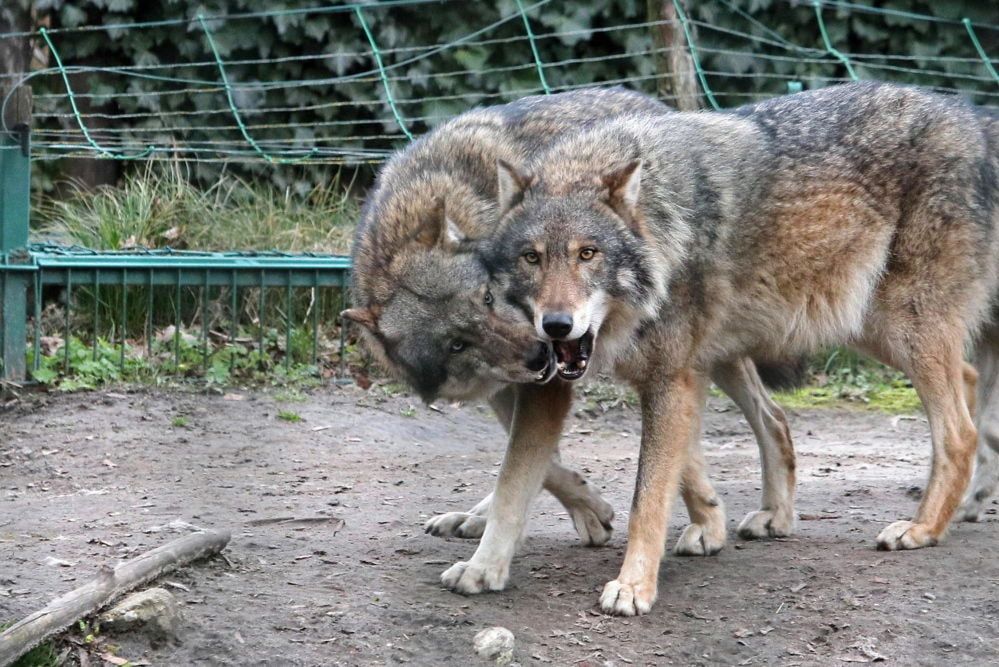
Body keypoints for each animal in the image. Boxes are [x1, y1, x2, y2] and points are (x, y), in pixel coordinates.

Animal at [348, 90, 800, 560]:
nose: (537, 353)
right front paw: (584, 508)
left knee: (767, 418)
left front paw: (598, 513)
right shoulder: (506, 385)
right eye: (457, 344)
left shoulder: (547, 382)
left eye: (488, 298)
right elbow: (534, 461)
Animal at [474, 82, 999, 616]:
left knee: (959, 430)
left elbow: (648, 496)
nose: (557, 325)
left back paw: (923, 528)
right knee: (957, 384)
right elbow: (657, 471)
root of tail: (974, 118)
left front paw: (634, 585)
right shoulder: (670, 376)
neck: (661, 225)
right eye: (532, 257)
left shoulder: (670, 378)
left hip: (894, 325)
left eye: (588, 254)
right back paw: (787, 516)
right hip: (850, 327)